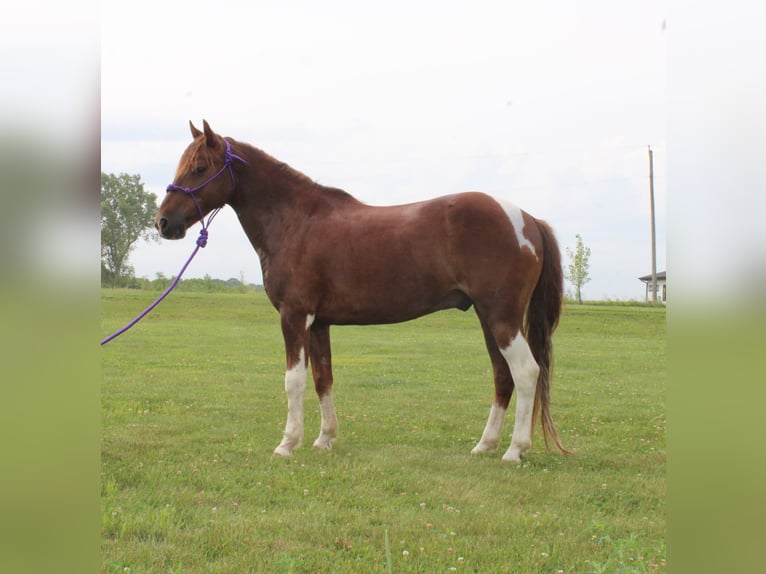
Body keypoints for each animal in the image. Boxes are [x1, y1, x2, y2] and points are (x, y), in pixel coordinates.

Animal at [156, 120, 569, 462]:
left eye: (199, 168)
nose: (163, 222)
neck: (296, 221)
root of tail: (527, 218)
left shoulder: (295, 316)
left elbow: (294, 381)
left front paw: (287, 443)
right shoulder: (319, 323)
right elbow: (323, 379)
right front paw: (324, 439)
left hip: (502, 318)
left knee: (526, 372)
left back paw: (514, 450)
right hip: (488, 318)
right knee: (503, 375)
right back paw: (485, 445)